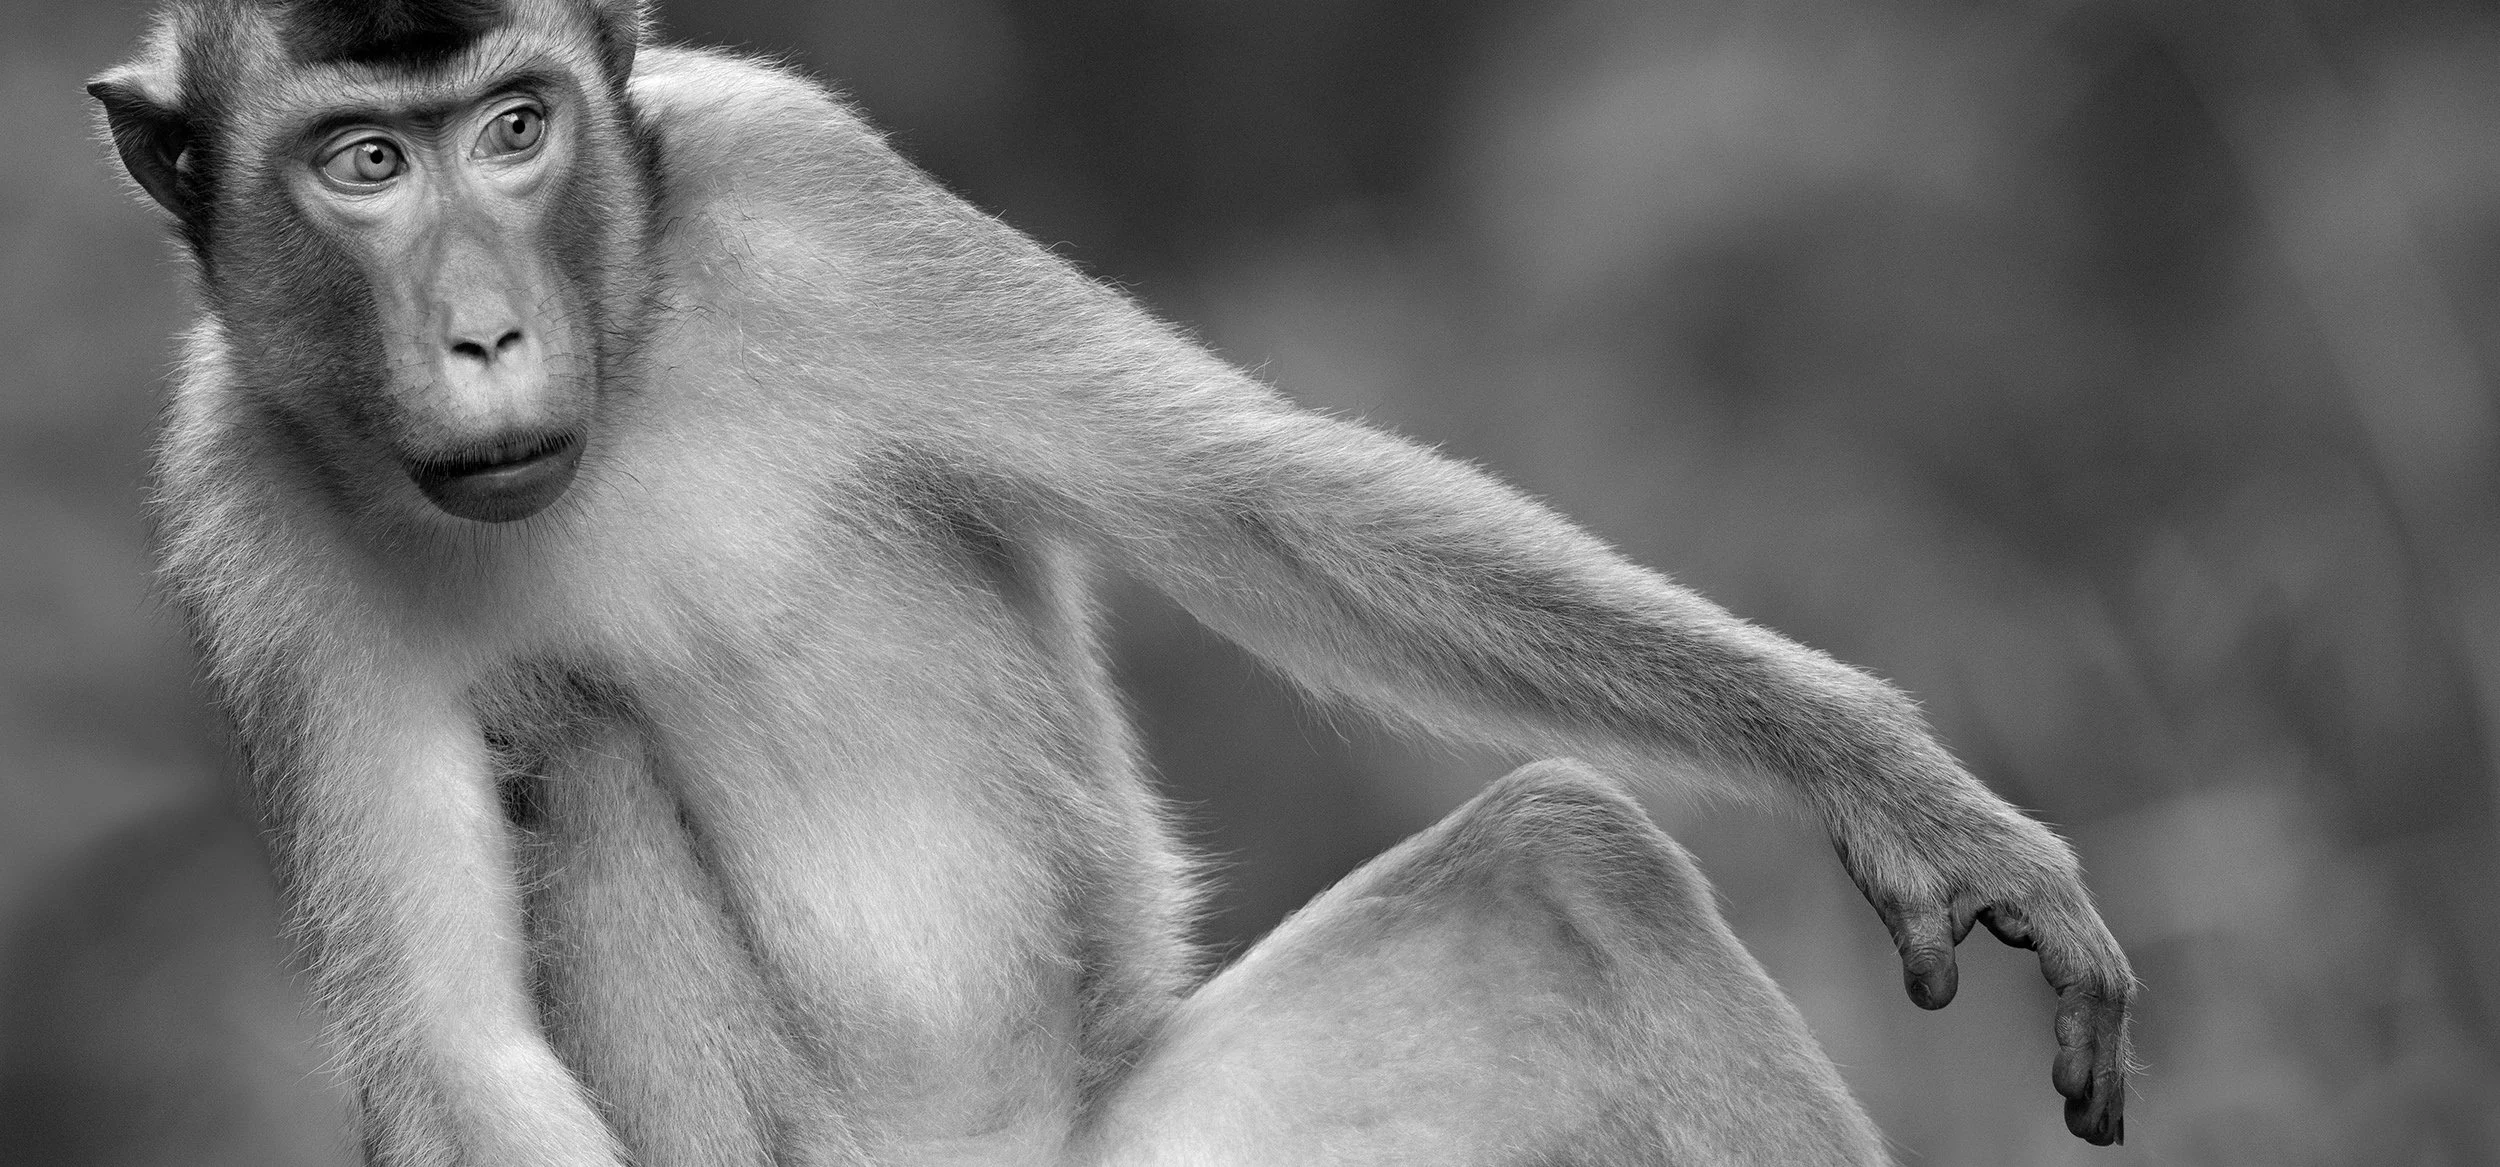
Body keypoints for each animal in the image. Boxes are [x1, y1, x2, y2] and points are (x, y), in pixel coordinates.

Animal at [87, 0, 2132, 1163]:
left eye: (515, 128)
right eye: (365, 162)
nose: (485, 329)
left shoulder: (802, 189)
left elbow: (1265, 506)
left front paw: (1895, 785)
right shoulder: (241, 502)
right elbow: (454, 1053)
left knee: (1570, 871)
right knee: (564, 737)